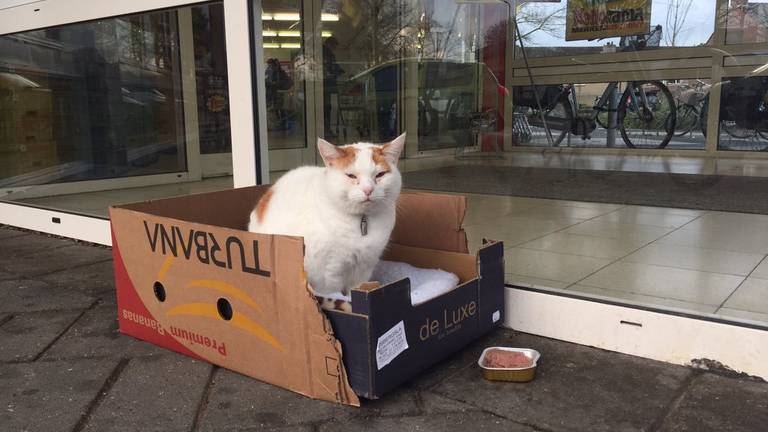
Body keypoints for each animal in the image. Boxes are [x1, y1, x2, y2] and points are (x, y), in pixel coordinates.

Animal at [250, 133, 408, 302]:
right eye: (351, 175)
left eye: (380, 175)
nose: (368, 190)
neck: (361, 222)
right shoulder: (327, 271)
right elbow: (332, 292)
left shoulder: (363, 268)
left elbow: (356, 289)